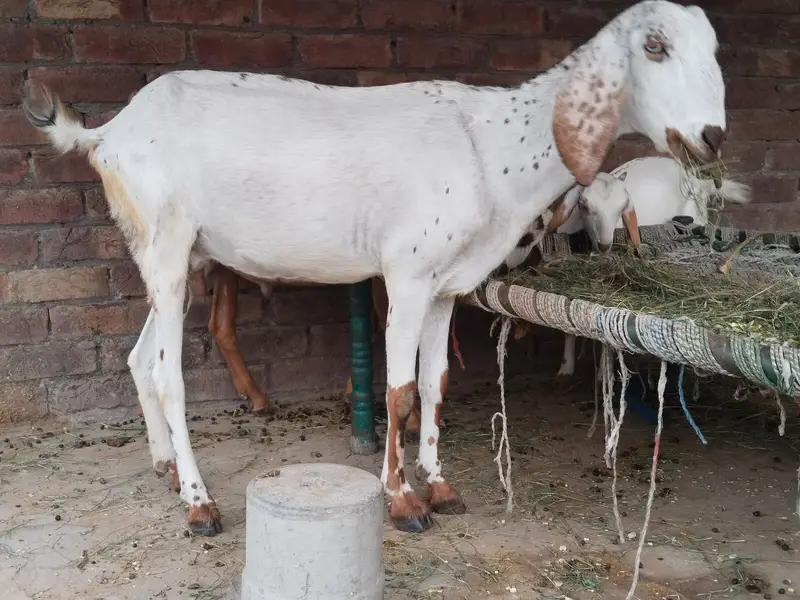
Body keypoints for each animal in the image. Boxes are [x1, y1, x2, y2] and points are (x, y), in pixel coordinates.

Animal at [24, 0, 727, 536]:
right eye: (655, 47)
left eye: (714, 49)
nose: (712, 136)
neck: (489, 142)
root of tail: (109, 133)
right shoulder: (407, 276)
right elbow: (398, 389)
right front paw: (403, 501)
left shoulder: (446, 286)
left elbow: (437, 383)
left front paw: (440, 486)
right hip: (167, 247)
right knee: (169, 376)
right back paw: (199, 504)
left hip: (172, 258)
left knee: (140, 358)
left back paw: (166, 468)